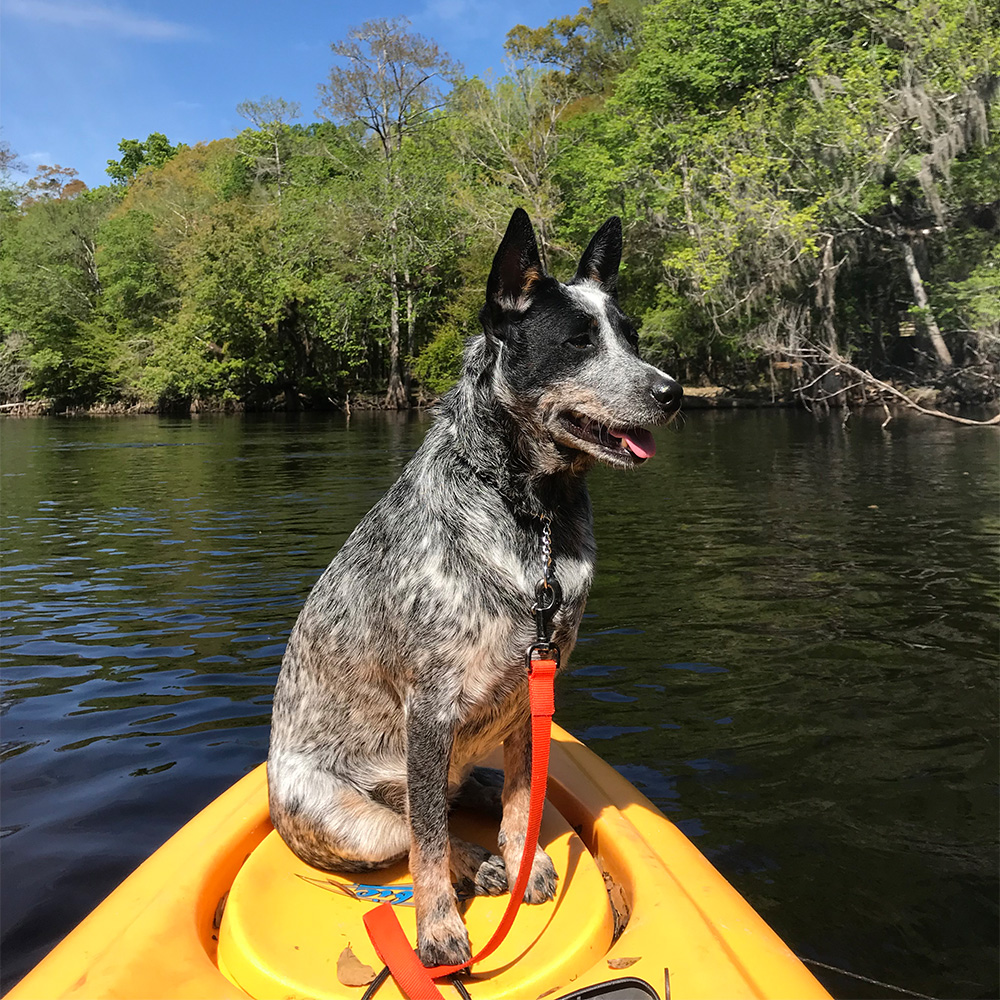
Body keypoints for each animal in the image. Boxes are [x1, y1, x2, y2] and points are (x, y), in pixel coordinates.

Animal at [270, 207, 684, 964]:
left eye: (631, 334)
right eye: (578, 341)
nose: (672, 393)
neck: (532, 513)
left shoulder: (531, 688)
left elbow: (525, 795)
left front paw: (526, 861)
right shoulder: (431, 708)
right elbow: (429, 844)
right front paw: (439, 926)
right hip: (350, 816)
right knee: (410, 827)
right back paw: (477, 865)